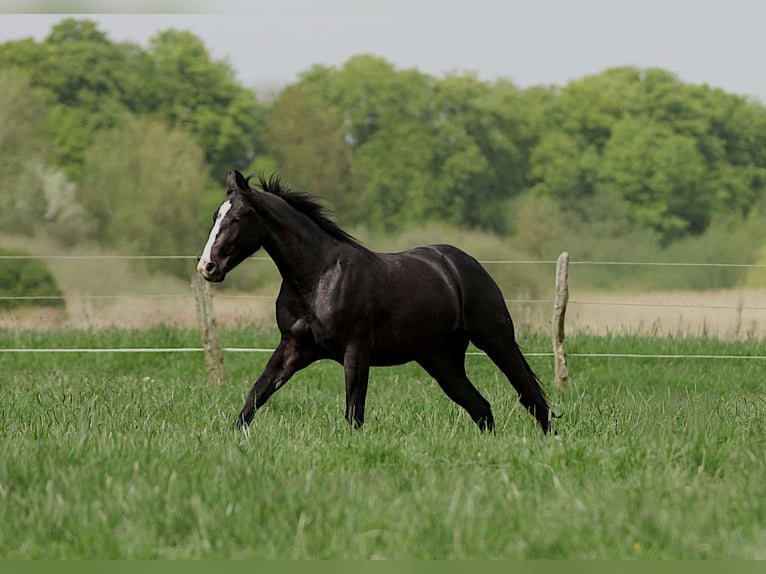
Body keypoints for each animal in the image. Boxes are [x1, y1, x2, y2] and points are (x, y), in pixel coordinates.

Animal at [197, 170, 555, 434]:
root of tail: (463, 264)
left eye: (237, 218)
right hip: (441, 360)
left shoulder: (356, 351)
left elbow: (354, 412)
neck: (317, 277)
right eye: (215, 216)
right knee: (481, 408)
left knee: (530, 394)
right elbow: (256, 395)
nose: (207, 267)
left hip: (496, 339)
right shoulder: (294, 347)